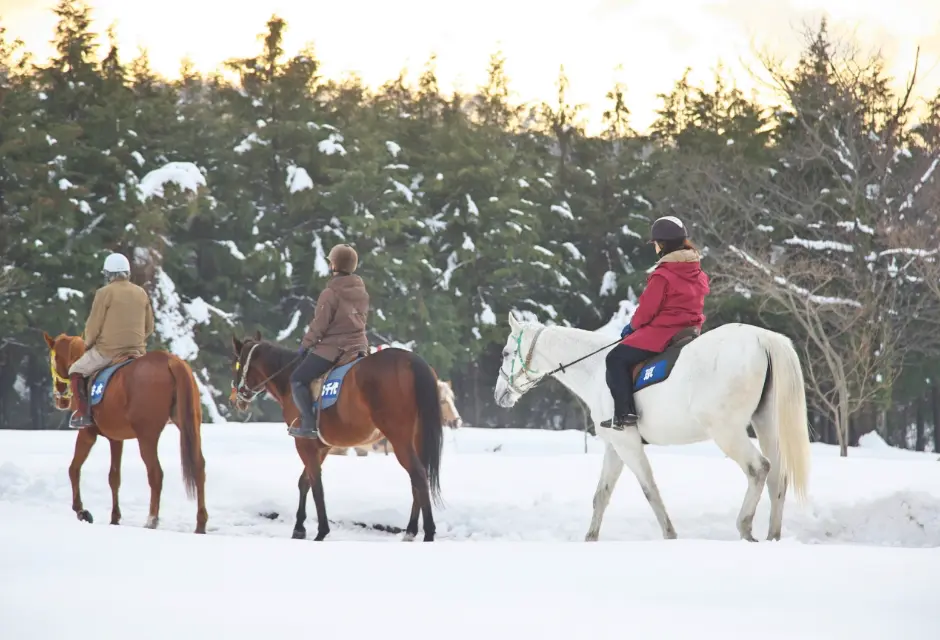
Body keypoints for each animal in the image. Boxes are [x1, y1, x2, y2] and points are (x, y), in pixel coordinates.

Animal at [43, 332, 208, 532]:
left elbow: (74, 469)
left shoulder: (87, 434)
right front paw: (115, 517)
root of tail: (170, 361)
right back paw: (200, 523)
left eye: (53, 359)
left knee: (155, 473)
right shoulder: (116, 438)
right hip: (190, 426)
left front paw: (81, 511)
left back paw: (152, 519)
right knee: (199, 467)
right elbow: (114, 477)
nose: (61, 399)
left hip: (147, 436)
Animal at [230, 332, 444, 544]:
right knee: (419, 477)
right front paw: (299, 528)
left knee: (418, 475)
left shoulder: (304, 444)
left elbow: (316, 484)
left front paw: (321, 531)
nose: (235, 399)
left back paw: (428, 532)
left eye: (237, 364)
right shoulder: (323, 447)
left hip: (399, 439)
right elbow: (305, 482)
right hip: (415, 438)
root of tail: (411, 360)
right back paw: (411, 530)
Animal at [496, 312, 812, 544]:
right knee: (778, 477)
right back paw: (773, 536)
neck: (595, 369)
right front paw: (590, 538)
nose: (500, 395)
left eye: (506, 352)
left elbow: (649, 489)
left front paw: (670, 535)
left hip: (728, 432)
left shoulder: (627, 443)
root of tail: (762, 337)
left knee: (759, 469)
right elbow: (601, 495)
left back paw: (745, 527)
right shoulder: (615, 446)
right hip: (765, 423)